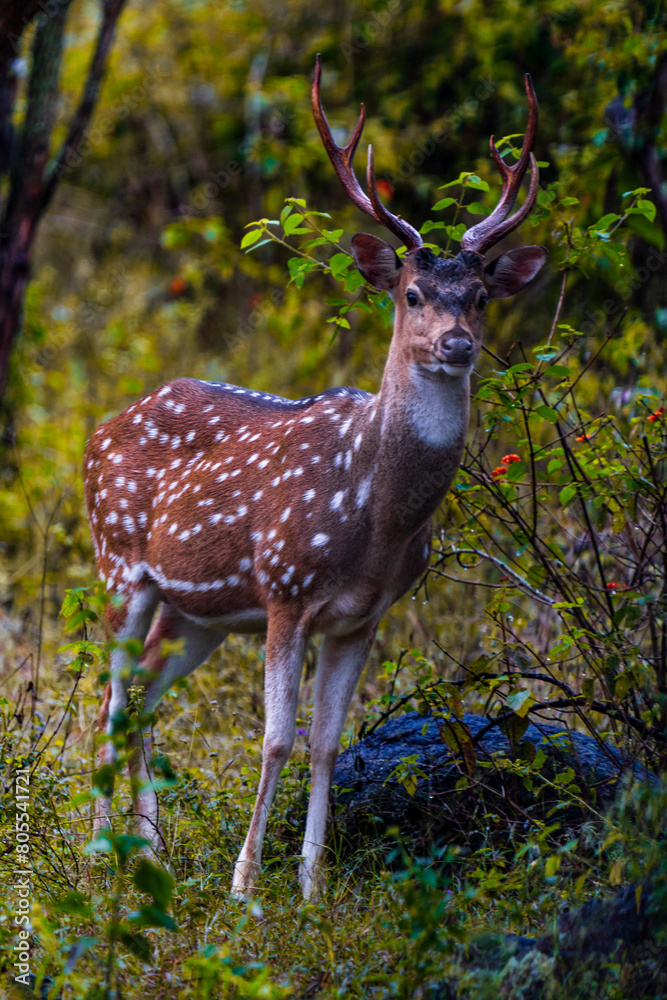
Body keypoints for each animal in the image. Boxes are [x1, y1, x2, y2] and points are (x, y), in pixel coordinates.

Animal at [84, 56, 547, 900]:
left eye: (479, 297)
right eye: (411, 294)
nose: (456, 343)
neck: (373, 514)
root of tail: (99, 430)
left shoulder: (363, 616)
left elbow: (326, 742)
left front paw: (310, 887)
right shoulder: (284, 588)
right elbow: (274, 739)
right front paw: (245, 890)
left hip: (194, 613)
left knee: (141, 702)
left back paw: (154, 855)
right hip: (118, 565)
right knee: (111, 697)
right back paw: (104, 855)